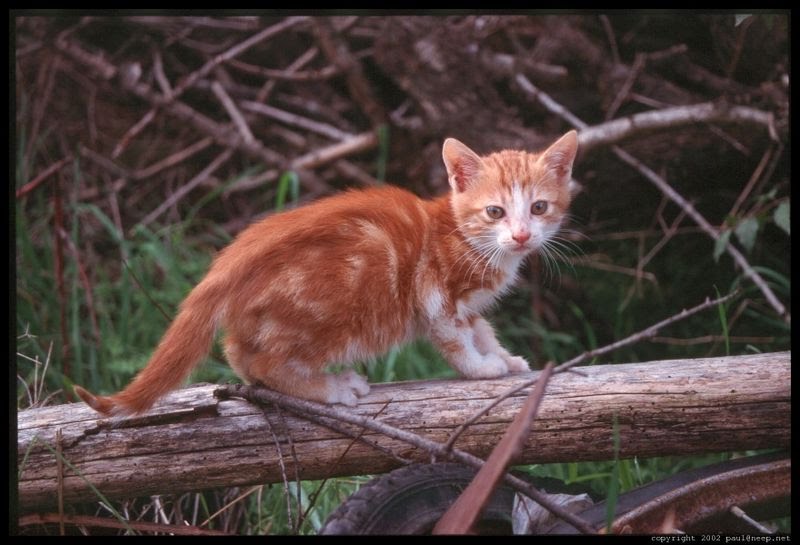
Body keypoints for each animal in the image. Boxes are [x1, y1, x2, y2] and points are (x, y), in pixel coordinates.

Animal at [73, 131, 576, 412]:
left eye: (538, 208)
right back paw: (331, 388)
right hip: (332, 311)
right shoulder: (437, 294)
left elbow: (481, 328)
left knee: (240, 353)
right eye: (494, 211)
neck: (463, 234)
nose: (521, 236)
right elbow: (456, 340)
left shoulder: (467, 305)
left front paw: (505, 358)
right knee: (262, 360)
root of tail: (229, 264)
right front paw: (483, 369)